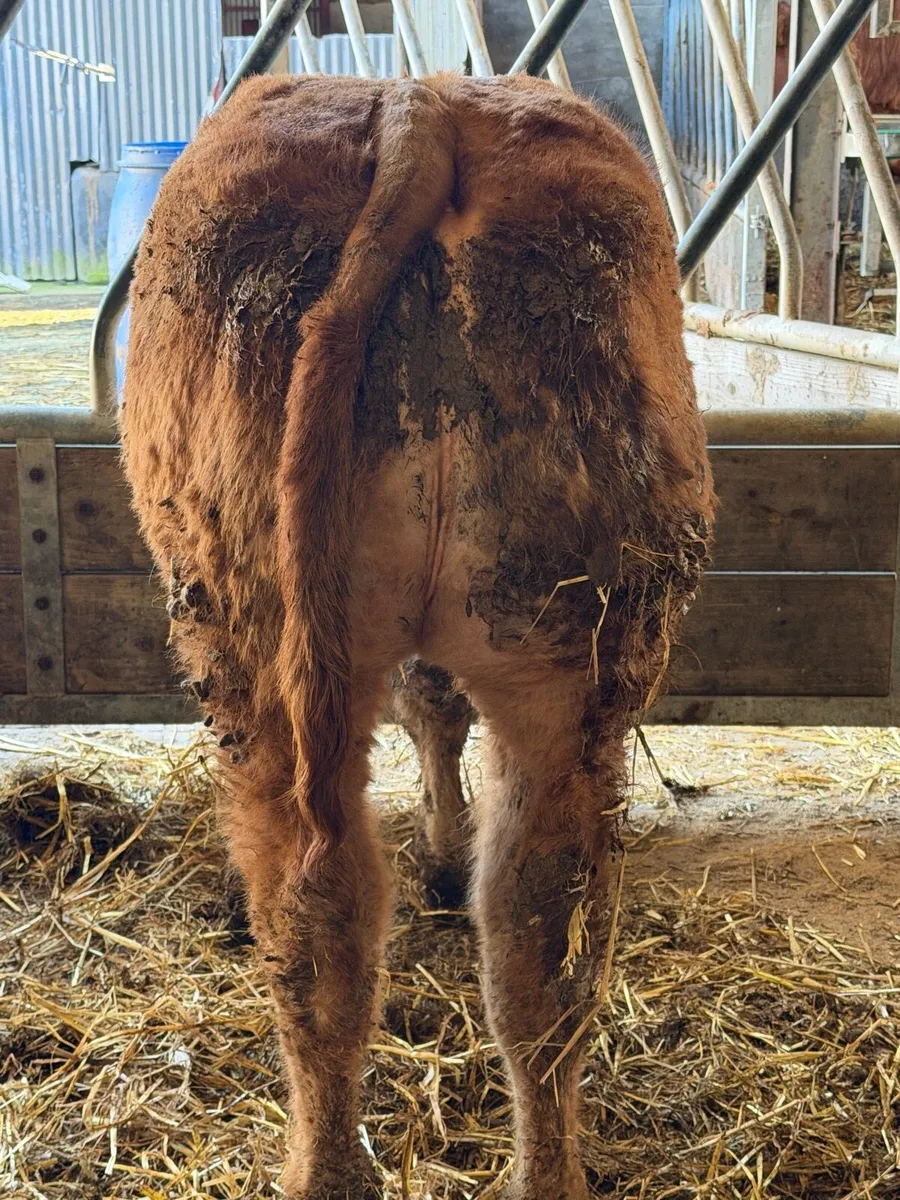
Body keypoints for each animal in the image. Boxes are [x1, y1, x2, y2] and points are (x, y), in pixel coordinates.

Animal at [120, 72, 714, 1200]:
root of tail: (418, 108)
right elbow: (437, 706)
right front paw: (444, 850)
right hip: (569, 671)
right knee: (538, 942)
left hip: (251, 656)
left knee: (313, 926)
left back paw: (319, 1169)